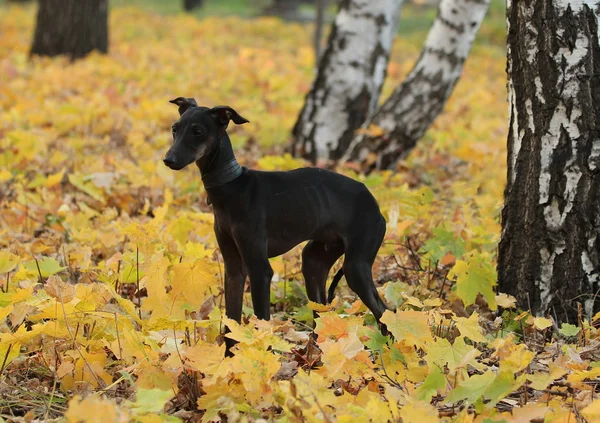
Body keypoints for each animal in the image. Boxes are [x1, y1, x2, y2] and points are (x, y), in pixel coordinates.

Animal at [164, 98, 390, 352]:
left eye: (198, 131)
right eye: (175, 129)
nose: (169, 160)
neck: (231, 186)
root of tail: (376, 206)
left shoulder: (260, 270)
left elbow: (262, 320)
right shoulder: (233, 269)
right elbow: (231, 320)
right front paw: (231, 358)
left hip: (356, 266)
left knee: (384, 312)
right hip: (315, 261)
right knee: (320, 315)